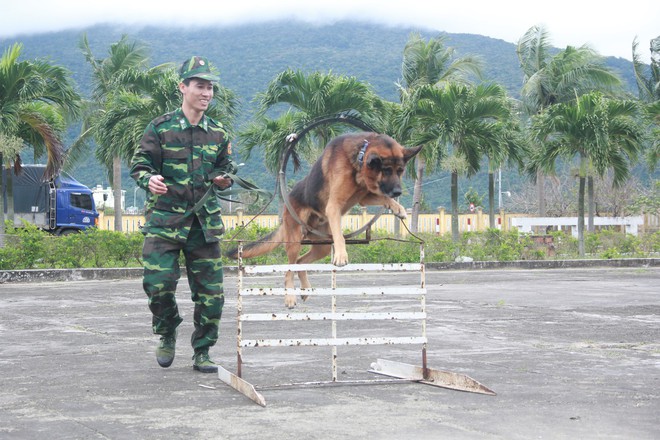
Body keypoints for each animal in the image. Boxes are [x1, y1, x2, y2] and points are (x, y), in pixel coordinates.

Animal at [229, 132, 420, 308]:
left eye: (400, 171)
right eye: (386, 170)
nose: (398, 192)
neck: (358, 160)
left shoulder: (364, 197)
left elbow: (384, 199)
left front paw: (398, 208)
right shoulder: (334, 206)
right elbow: (340, 236)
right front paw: (342, 255)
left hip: (323, 247)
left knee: (300, 263)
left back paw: (305, 289)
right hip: (294, 241)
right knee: (289, 270)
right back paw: (290, 298)